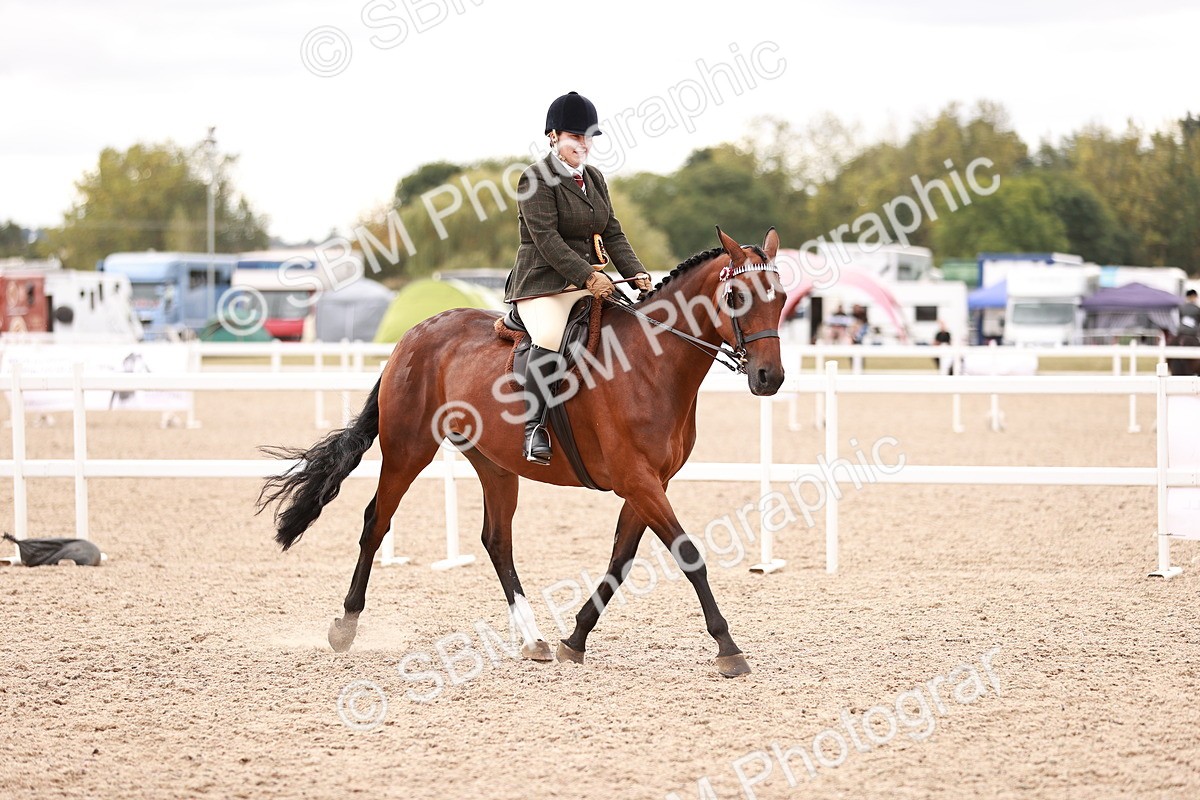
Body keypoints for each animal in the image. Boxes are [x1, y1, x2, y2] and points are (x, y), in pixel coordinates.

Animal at [257, 227, 786, 677]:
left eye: (780, 298)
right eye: (736, 297)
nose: (770, 378)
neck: (650, 364)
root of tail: (414, 334)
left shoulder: (650, 482)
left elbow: (621, 559)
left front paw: (576, 637)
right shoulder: (638, 480)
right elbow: (688, 555)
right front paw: (728, 648)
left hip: (494, 464)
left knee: (497, 540)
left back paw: (533, 639)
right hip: (409, 449)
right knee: (376, 522)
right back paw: (345, 627)